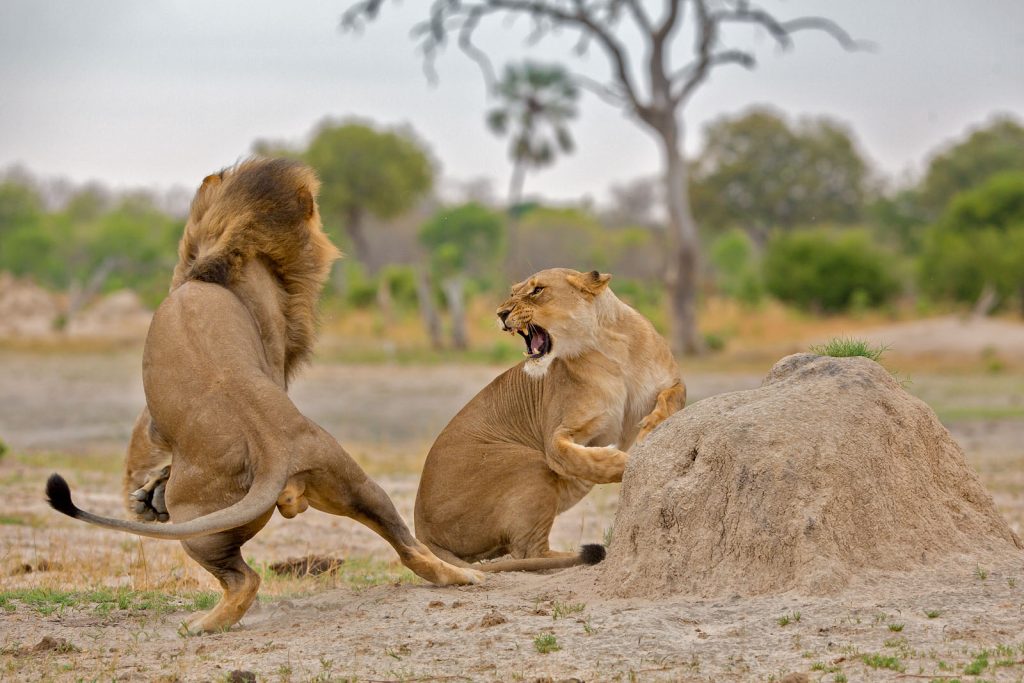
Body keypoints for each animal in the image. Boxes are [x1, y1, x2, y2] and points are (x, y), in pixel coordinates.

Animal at [45, 157, 479, 634]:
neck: (233, 249)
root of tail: (271, 449)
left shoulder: (158, 418)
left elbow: (143, 441)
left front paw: (145, 497)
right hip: (356, 483)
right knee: (409, 546)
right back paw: (464, 577)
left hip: (198, 526)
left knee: (244, 580)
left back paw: (201, 624)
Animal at [411, 266, 684, 573]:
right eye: (512, 292)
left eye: (537, 290)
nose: (500, 313)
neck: (608, 348)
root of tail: (421, 530)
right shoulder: (558, 433)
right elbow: (572, 457)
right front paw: (623, 462)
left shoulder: (673, 382)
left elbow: (670, 398)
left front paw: (650, 428)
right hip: (528, 463)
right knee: (528, 551)